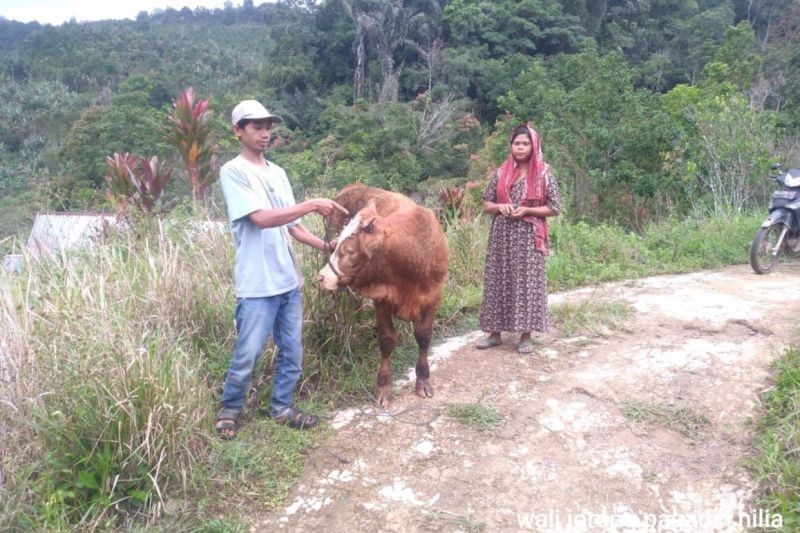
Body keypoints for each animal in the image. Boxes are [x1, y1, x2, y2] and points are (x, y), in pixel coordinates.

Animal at [318, 184, 450, 408]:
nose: (322, 276)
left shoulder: (433, 297)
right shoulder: (381, 300)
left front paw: (423, 381)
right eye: (336, 246)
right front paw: (383, 388)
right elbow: (387, 340)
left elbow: (424, 337)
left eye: (350, 250)